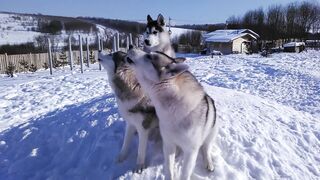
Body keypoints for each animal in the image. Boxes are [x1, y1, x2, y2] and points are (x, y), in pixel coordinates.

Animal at [126, 48, 219, 180]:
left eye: (149, 57)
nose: (130, 46)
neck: (173, 106)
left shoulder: (191, 151)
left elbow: (185, 174)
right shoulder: (168, 144)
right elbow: (169, 169)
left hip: (212, 131)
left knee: (206, 148)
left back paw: (208, 162)